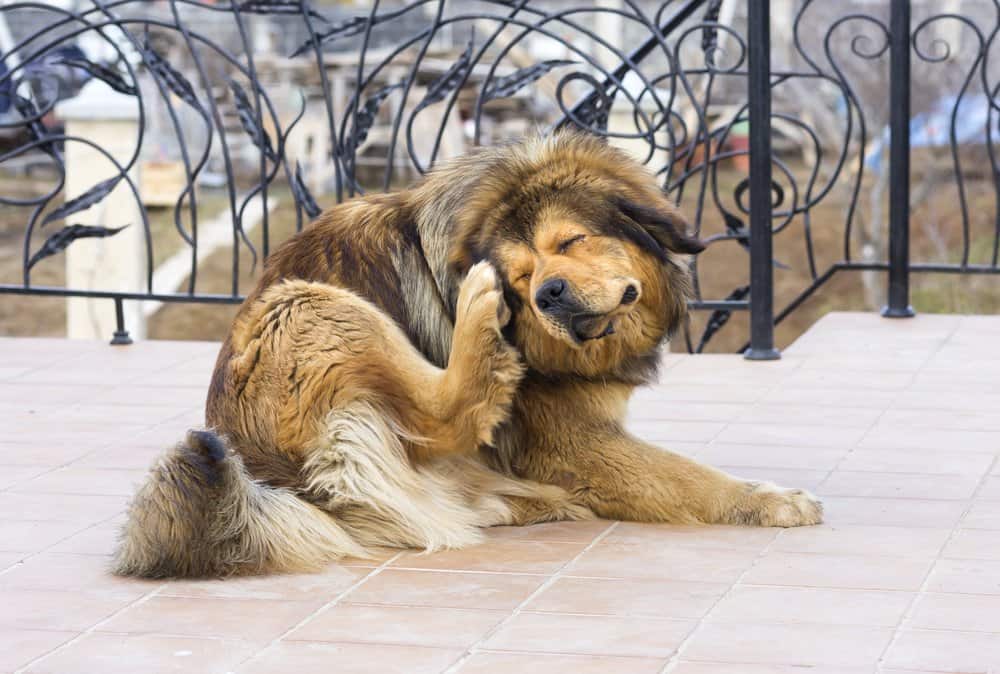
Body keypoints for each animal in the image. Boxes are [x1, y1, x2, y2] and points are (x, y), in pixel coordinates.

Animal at [115, 131, 820, 576]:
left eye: (570, 242)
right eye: (521, 275)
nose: (546, 294)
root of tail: (266, 479)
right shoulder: (574, 442)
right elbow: (690, 477)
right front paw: (771, 501)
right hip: (308, 305)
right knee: (444, 414)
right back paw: (478, 326)